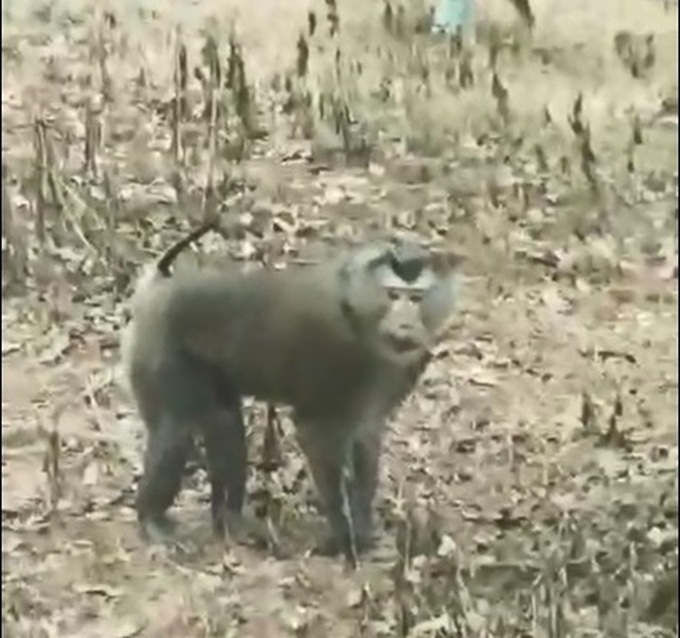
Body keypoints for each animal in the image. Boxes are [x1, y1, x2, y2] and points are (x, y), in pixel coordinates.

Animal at [120, 228, 458, 564]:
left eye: (417, 298)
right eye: (393, 295)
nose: (406, 324)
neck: (359, 314)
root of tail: (163, 278)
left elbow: (366, 435)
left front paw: (363, 531)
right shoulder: (330, 343)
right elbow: (316, 432)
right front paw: (346, 538)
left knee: (225, 423)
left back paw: (230, 521)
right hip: (158, 343)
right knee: (175, 429)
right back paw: (152, 517)